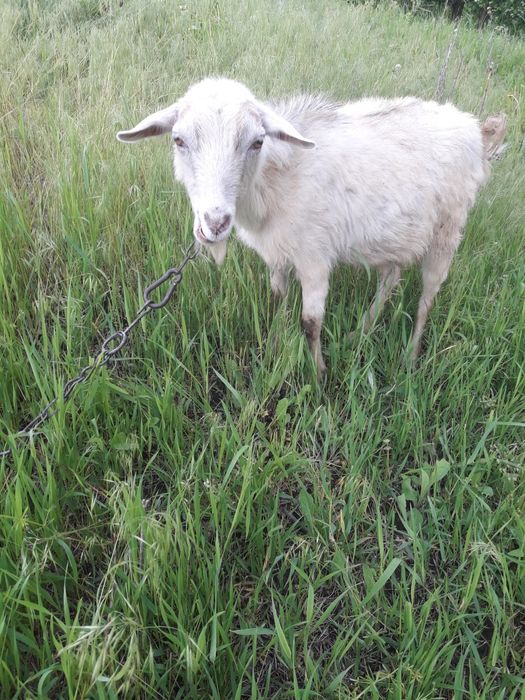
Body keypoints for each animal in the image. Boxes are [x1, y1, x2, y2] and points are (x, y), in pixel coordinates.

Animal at [117, 78, 503, 376]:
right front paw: (273, 346)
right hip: (392, 235)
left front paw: (318, 377)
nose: (215, 223)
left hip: (448, 230)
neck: (275, 181)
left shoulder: (315, 258)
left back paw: (410, 354)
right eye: (178, 140)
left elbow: (310, 323)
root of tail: (473, 127)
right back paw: (360, 333)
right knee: (390, 279)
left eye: (257, 142)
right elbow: (276, 301)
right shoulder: (276, 256)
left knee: (427, 298)